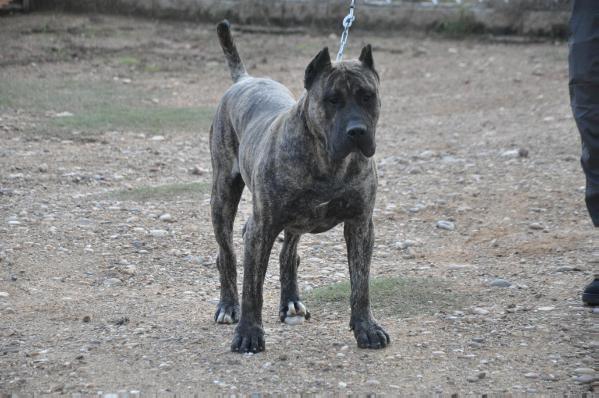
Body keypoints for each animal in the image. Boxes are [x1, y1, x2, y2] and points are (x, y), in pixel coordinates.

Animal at [211, 20, 390, 352]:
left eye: (367, 96)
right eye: (332, 99)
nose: (357, 131)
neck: (328, 161)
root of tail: (246, 79)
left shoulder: (360, 225)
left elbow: (361, 283)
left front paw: (366, 328)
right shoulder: (261, 228)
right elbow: (253, 288)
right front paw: (249, 333)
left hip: (296, 221)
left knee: (288, 255)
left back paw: (291, 301)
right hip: (222, 197)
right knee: (226, 254)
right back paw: (228, 306)